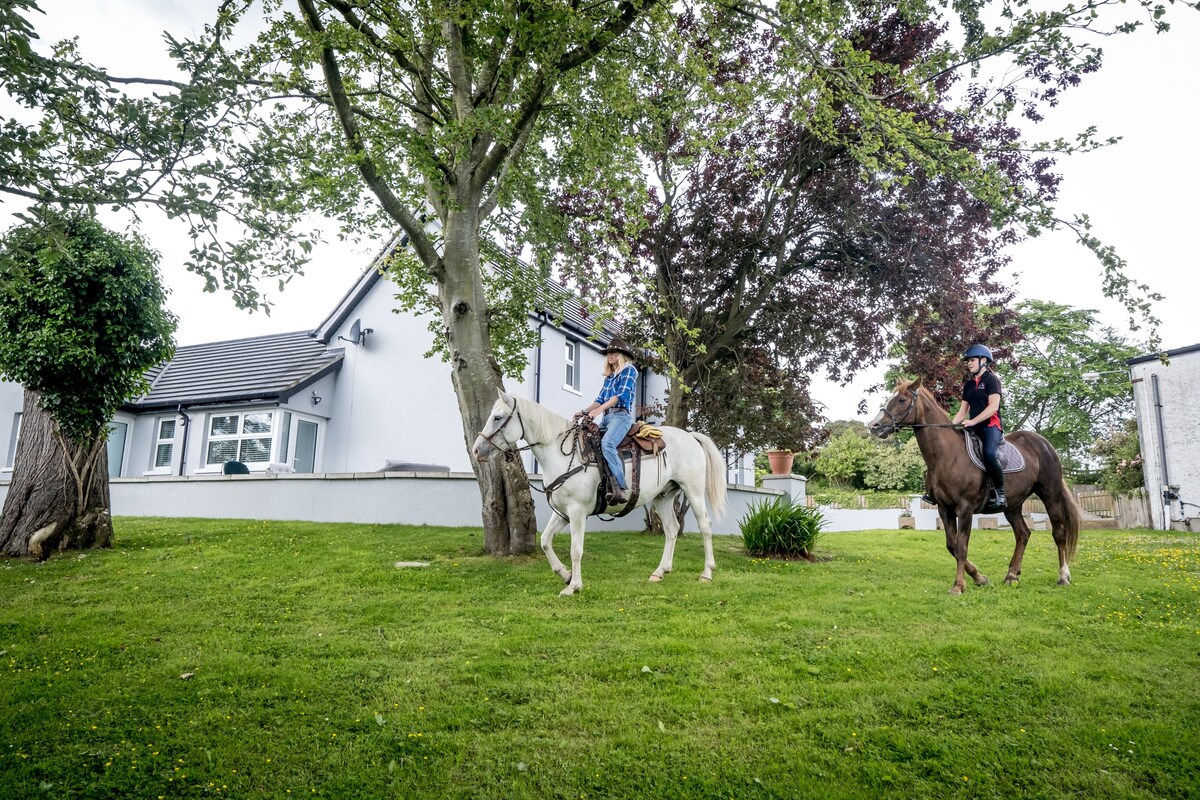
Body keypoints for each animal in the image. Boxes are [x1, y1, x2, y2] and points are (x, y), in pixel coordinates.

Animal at [472, 391, 724, 597]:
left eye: (497, 417)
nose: (476, 450)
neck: (563, 454)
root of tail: (690, 436)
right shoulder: (562, 513)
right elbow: (545, 541)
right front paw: (565, 575)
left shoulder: (577, 512)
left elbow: (576, 550)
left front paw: (573, 586)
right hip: (664, 496)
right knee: (671, 530)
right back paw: (660, 572)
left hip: (693, 490)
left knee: (705, 526)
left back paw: (706, 573)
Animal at [868, 381, 1084, 594]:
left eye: (901, 400)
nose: (873, 426)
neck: (946, 455)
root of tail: (1045, 444)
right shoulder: (944, 509)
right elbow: (952, 546)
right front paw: (979, 578)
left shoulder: (965, 508)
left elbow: (961, 546)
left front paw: (958, 586)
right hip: (1012, 505)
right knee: (1022, 534)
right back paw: (1012, 575)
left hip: (1050, 495)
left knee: (1059, 533)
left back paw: (1063, 576)